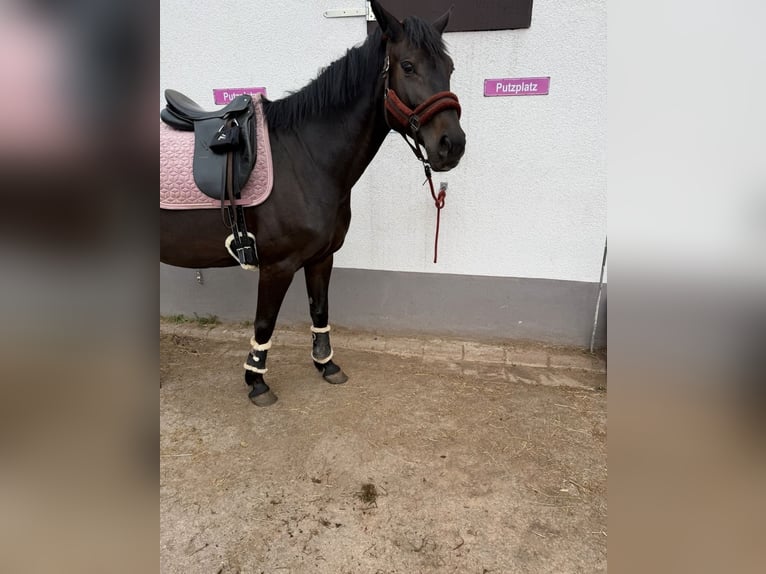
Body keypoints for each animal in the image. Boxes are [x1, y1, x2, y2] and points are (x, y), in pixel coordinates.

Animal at [160, 0, 466, 405]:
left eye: (449, 68)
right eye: (408, 66)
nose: (453, 145)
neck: (305, 156)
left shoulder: (322, 256)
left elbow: (319, 309)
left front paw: (327, 365)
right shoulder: (277, 266)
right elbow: (264, 322)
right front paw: (256, 381)